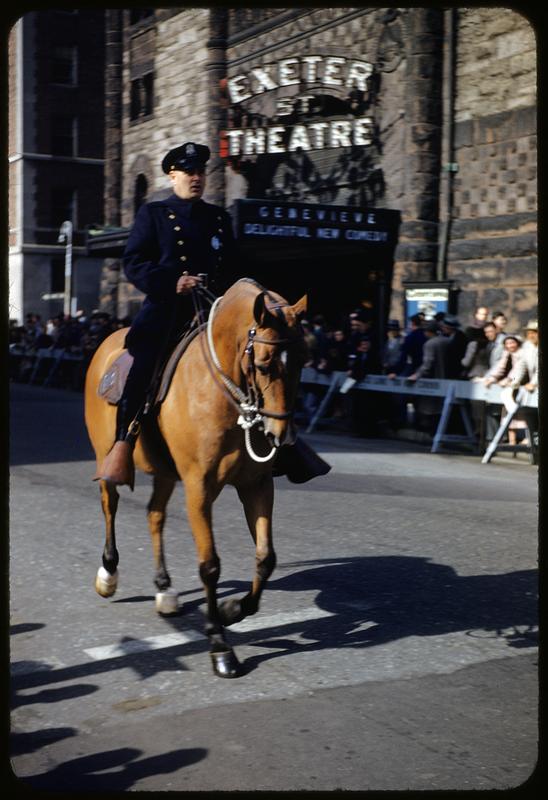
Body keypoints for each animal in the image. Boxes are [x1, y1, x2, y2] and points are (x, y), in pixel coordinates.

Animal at [85, 280, 308, 676]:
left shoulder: (256, 485)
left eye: (303, 361)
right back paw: (108, 574)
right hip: (105, 455)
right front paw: (219, 644)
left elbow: (266, 557)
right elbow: (210, 565)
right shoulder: (198, 488)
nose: (281, 437)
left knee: (155, 515)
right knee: (110, 505)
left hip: (164, 473)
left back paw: (164, 588)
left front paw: (234, 610)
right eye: (264, 364)